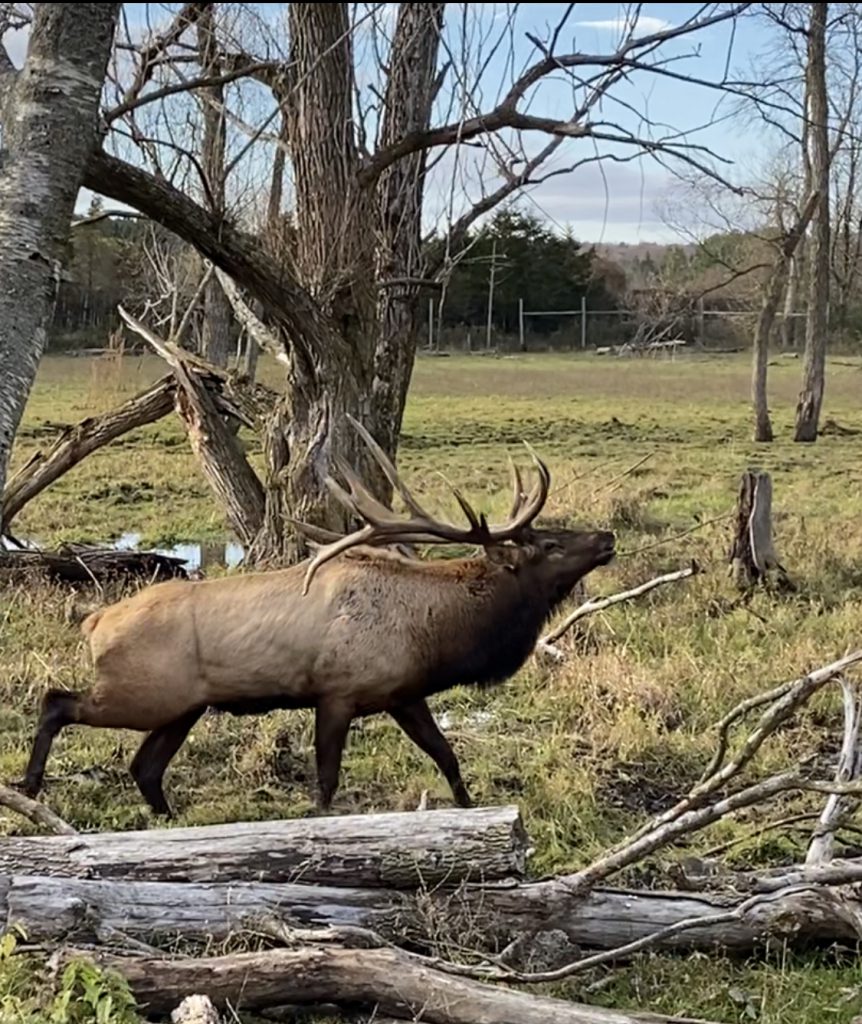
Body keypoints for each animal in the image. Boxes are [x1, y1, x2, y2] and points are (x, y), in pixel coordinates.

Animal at [16, 415, 614, 815]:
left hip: (182, 705)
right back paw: (29, 787)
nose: (606, 537)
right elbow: (325, 781)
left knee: (144, 767)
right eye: (549, 545)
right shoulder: (337, 691)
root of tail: (94, 622)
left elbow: (447, 756)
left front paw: (469, 813)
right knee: (58, 701)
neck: (435, 635)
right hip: (142, 691)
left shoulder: (402, 693)